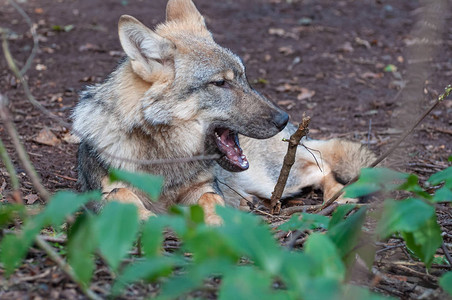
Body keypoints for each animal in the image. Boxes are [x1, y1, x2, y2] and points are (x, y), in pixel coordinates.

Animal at [71, 0, 374, 225]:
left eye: (243, 77)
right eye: (220, 83)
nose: (283, 119)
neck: (166, 158)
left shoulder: (204, 188)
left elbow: (212, 200)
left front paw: (219, 223)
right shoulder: (100, 193)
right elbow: (121, 195)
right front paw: (147, 218)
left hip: (277, 178)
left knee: (322, 165)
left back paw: (341, 196)